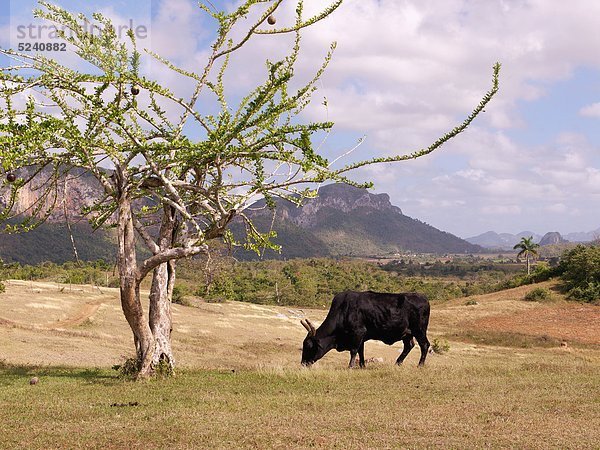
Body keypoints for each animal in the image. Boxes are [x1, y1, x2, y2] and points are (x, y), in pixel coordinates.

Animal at [300, 290, 432, 368]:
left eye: (309, 346)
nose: (303, 363)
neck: (343, 310)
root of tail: (424, 298)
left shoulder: (358, 332)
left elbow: (354, 350)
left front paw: (350, 366)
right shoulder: (362, 337)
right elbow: (361, 351)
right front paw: (362, 366)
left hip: (419, 330)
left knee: (424, 345)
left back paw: (420, 365)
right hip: (407, 333)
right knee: (409, 346)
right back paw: (397, 363)